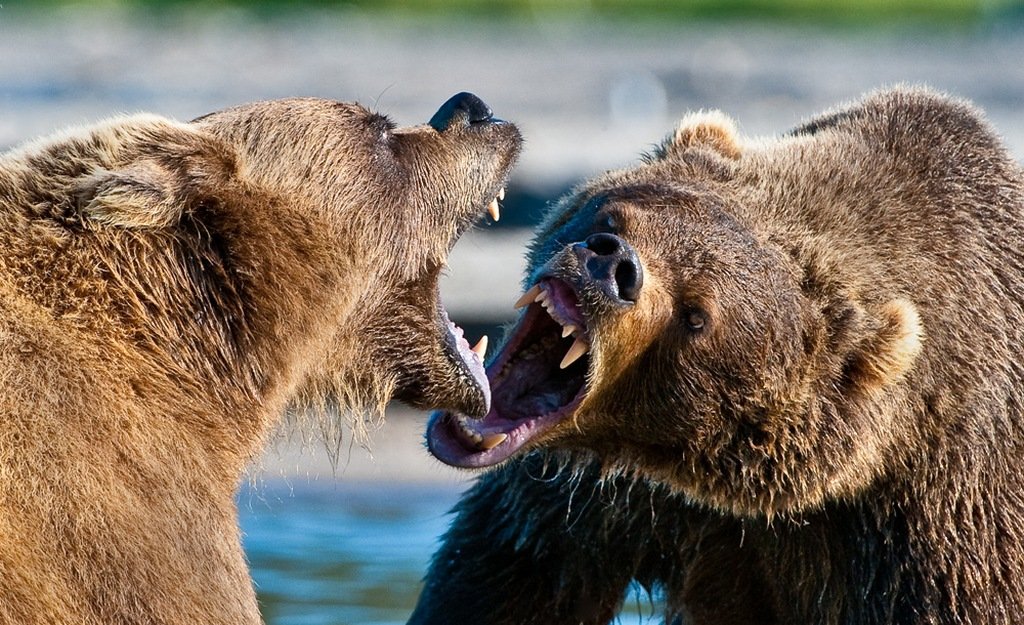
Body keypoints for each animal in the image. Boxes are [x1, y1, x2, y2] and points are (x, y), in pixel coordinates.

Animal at [411, 87, 1024, 622]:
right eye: (611, 217)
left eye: (697, 314)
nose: (612, 266)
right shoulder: (599, 499)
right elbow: (511, 577)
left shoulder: (937, 533)